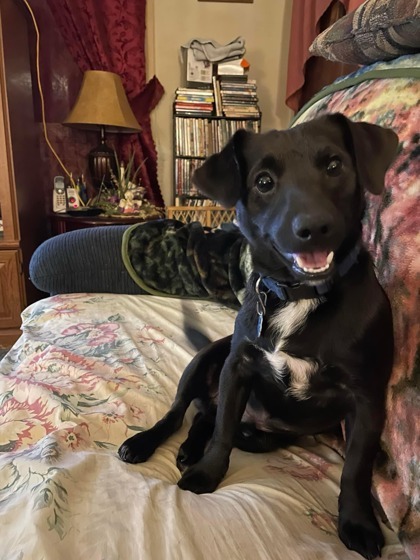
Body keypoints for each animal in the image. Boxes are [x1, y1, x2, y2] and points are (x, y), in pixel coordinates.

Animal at [120, 115, 398, 560]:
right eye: (263, 182)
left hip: (265, 435)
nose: (313, 227)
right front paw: (207, 474)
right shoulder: (237, 367)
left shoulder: (368, 400)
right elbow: (221, 435)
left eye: (334, 166)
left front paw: (357, 522)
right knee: (183, 413)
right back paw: (151, 443)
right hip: (204, 362)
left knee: (207, 417)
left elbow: (355, 468)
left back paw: (190, 448)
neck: (300, 295)